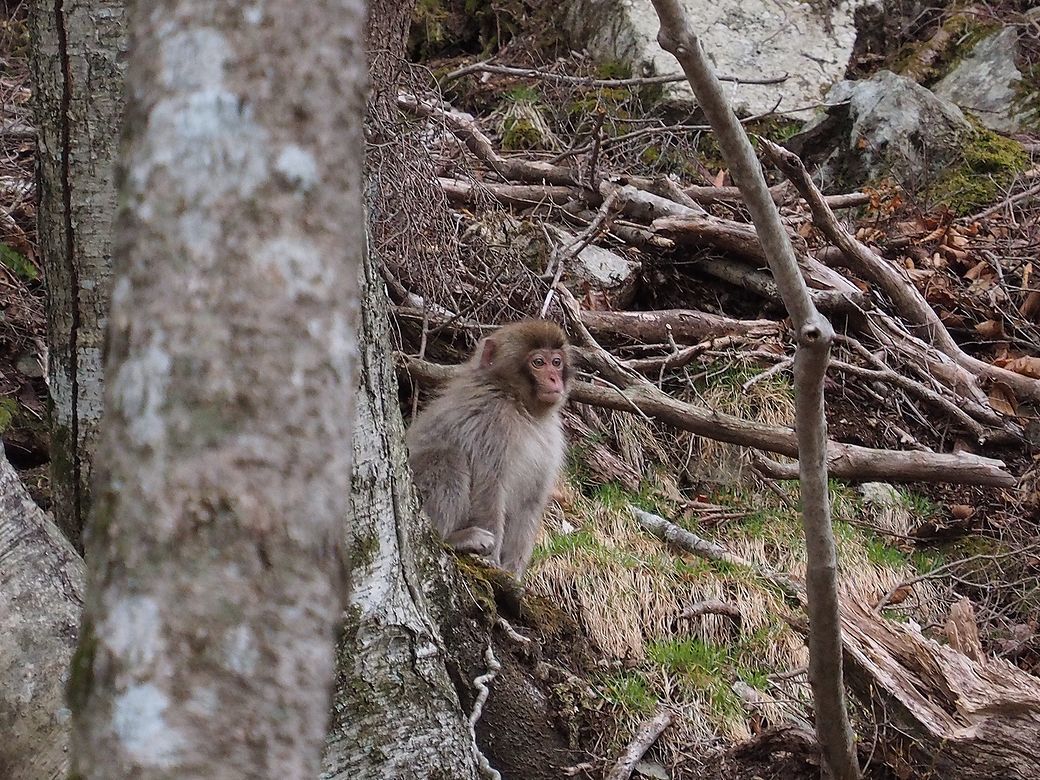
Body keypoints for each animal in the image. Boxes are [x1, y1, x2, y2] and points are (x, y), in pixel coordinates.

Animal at [403, 318, 569, 582]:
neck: (520, 406)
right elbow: (488, 488)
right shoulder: (491, 424)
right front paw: (493, 564)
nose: (555, 379)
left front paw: (513, 573)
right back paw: (453, 538)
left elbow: (530, 501)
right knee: (447, 457)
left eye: (556, 362)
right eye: (538, 363)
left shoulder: (550, 440)